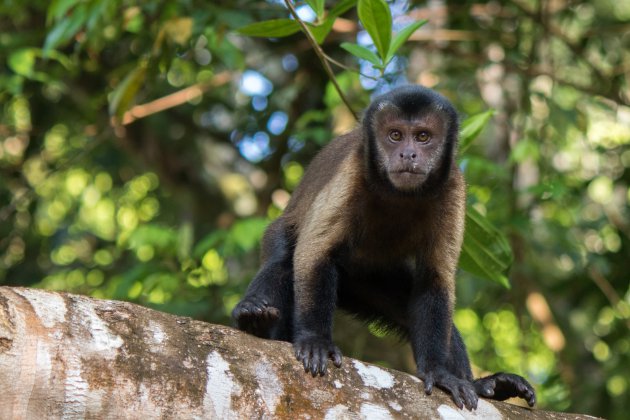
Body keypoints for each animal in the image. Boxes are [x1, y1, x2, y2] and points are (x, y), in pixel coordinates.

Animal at [232, 85, 540, 410]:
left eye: (423, 136)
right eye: (395, 135)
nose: (408, 153)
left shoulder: (454, 186)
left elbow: (435, 280)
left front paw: (438, 372)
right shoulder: (353, 172)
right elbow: (315, 253)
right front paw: (315, 340)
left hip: (369, 281)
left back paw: (484, 385)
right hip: (282, 233)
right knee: (282, 260)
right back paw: (255, 323)